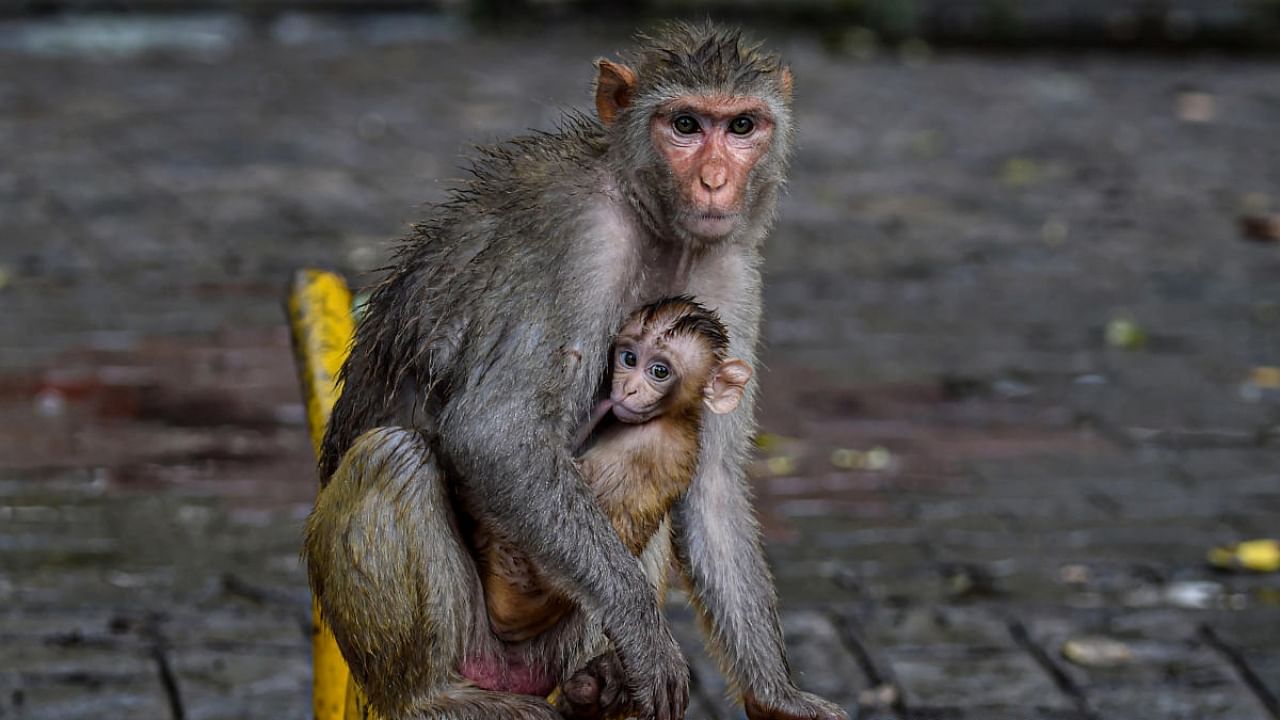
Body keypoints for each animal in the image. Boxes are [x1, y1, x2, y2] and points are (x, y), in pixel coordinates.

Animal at [309, 19, 849, 717]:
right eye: (685, 124)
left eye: (741, 127)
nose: (713, 181)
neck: (653, 221)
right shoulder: (578, 236)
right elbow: (496, 434)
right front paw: (644, 632)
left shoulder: (729, 271)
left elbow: (712, 484)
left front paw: (775, 695)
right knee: (394, 454)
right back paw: (430, 697)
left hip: (557, 643)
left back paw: (597, 686)